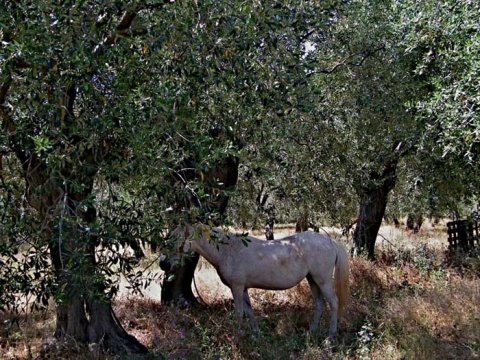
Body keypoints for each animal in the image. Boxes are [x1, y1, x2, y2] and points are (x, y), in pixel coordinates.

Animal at [171, 224, 350, 338]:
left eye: (176, 239)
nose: (165, 264)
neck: (228, 250)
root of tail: (329, 241)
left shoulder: (236, 287)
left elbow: (239, 313)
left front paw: (237, 338)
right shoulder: (243, 288)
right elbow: (249, 311)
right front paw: (255, 335)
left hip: (323, 280)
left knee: (334, 302)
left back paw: (329, 337)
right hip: (313, 280)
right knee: (320, 304)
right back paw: (311, 332)